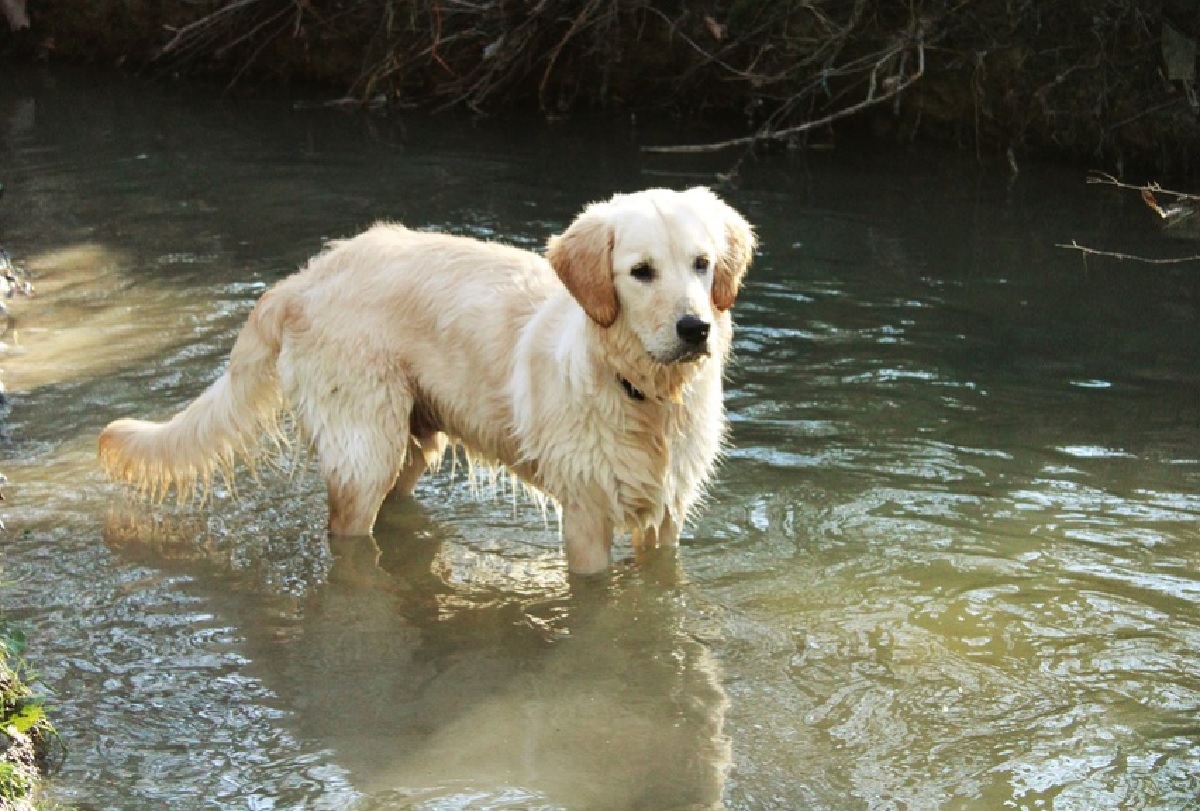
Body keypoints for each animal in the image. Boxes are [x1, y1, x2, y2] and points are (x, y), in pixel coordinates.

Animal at [105, 187, 758, 573]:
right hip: (364, 450)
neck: (645, 394)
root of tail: (303, 278)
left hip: (414, 444)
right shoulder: (586, 515)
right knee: (347, 529)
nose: (696, 328)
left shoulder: (667, 517)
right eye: (641, 271)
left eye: (702, 264)